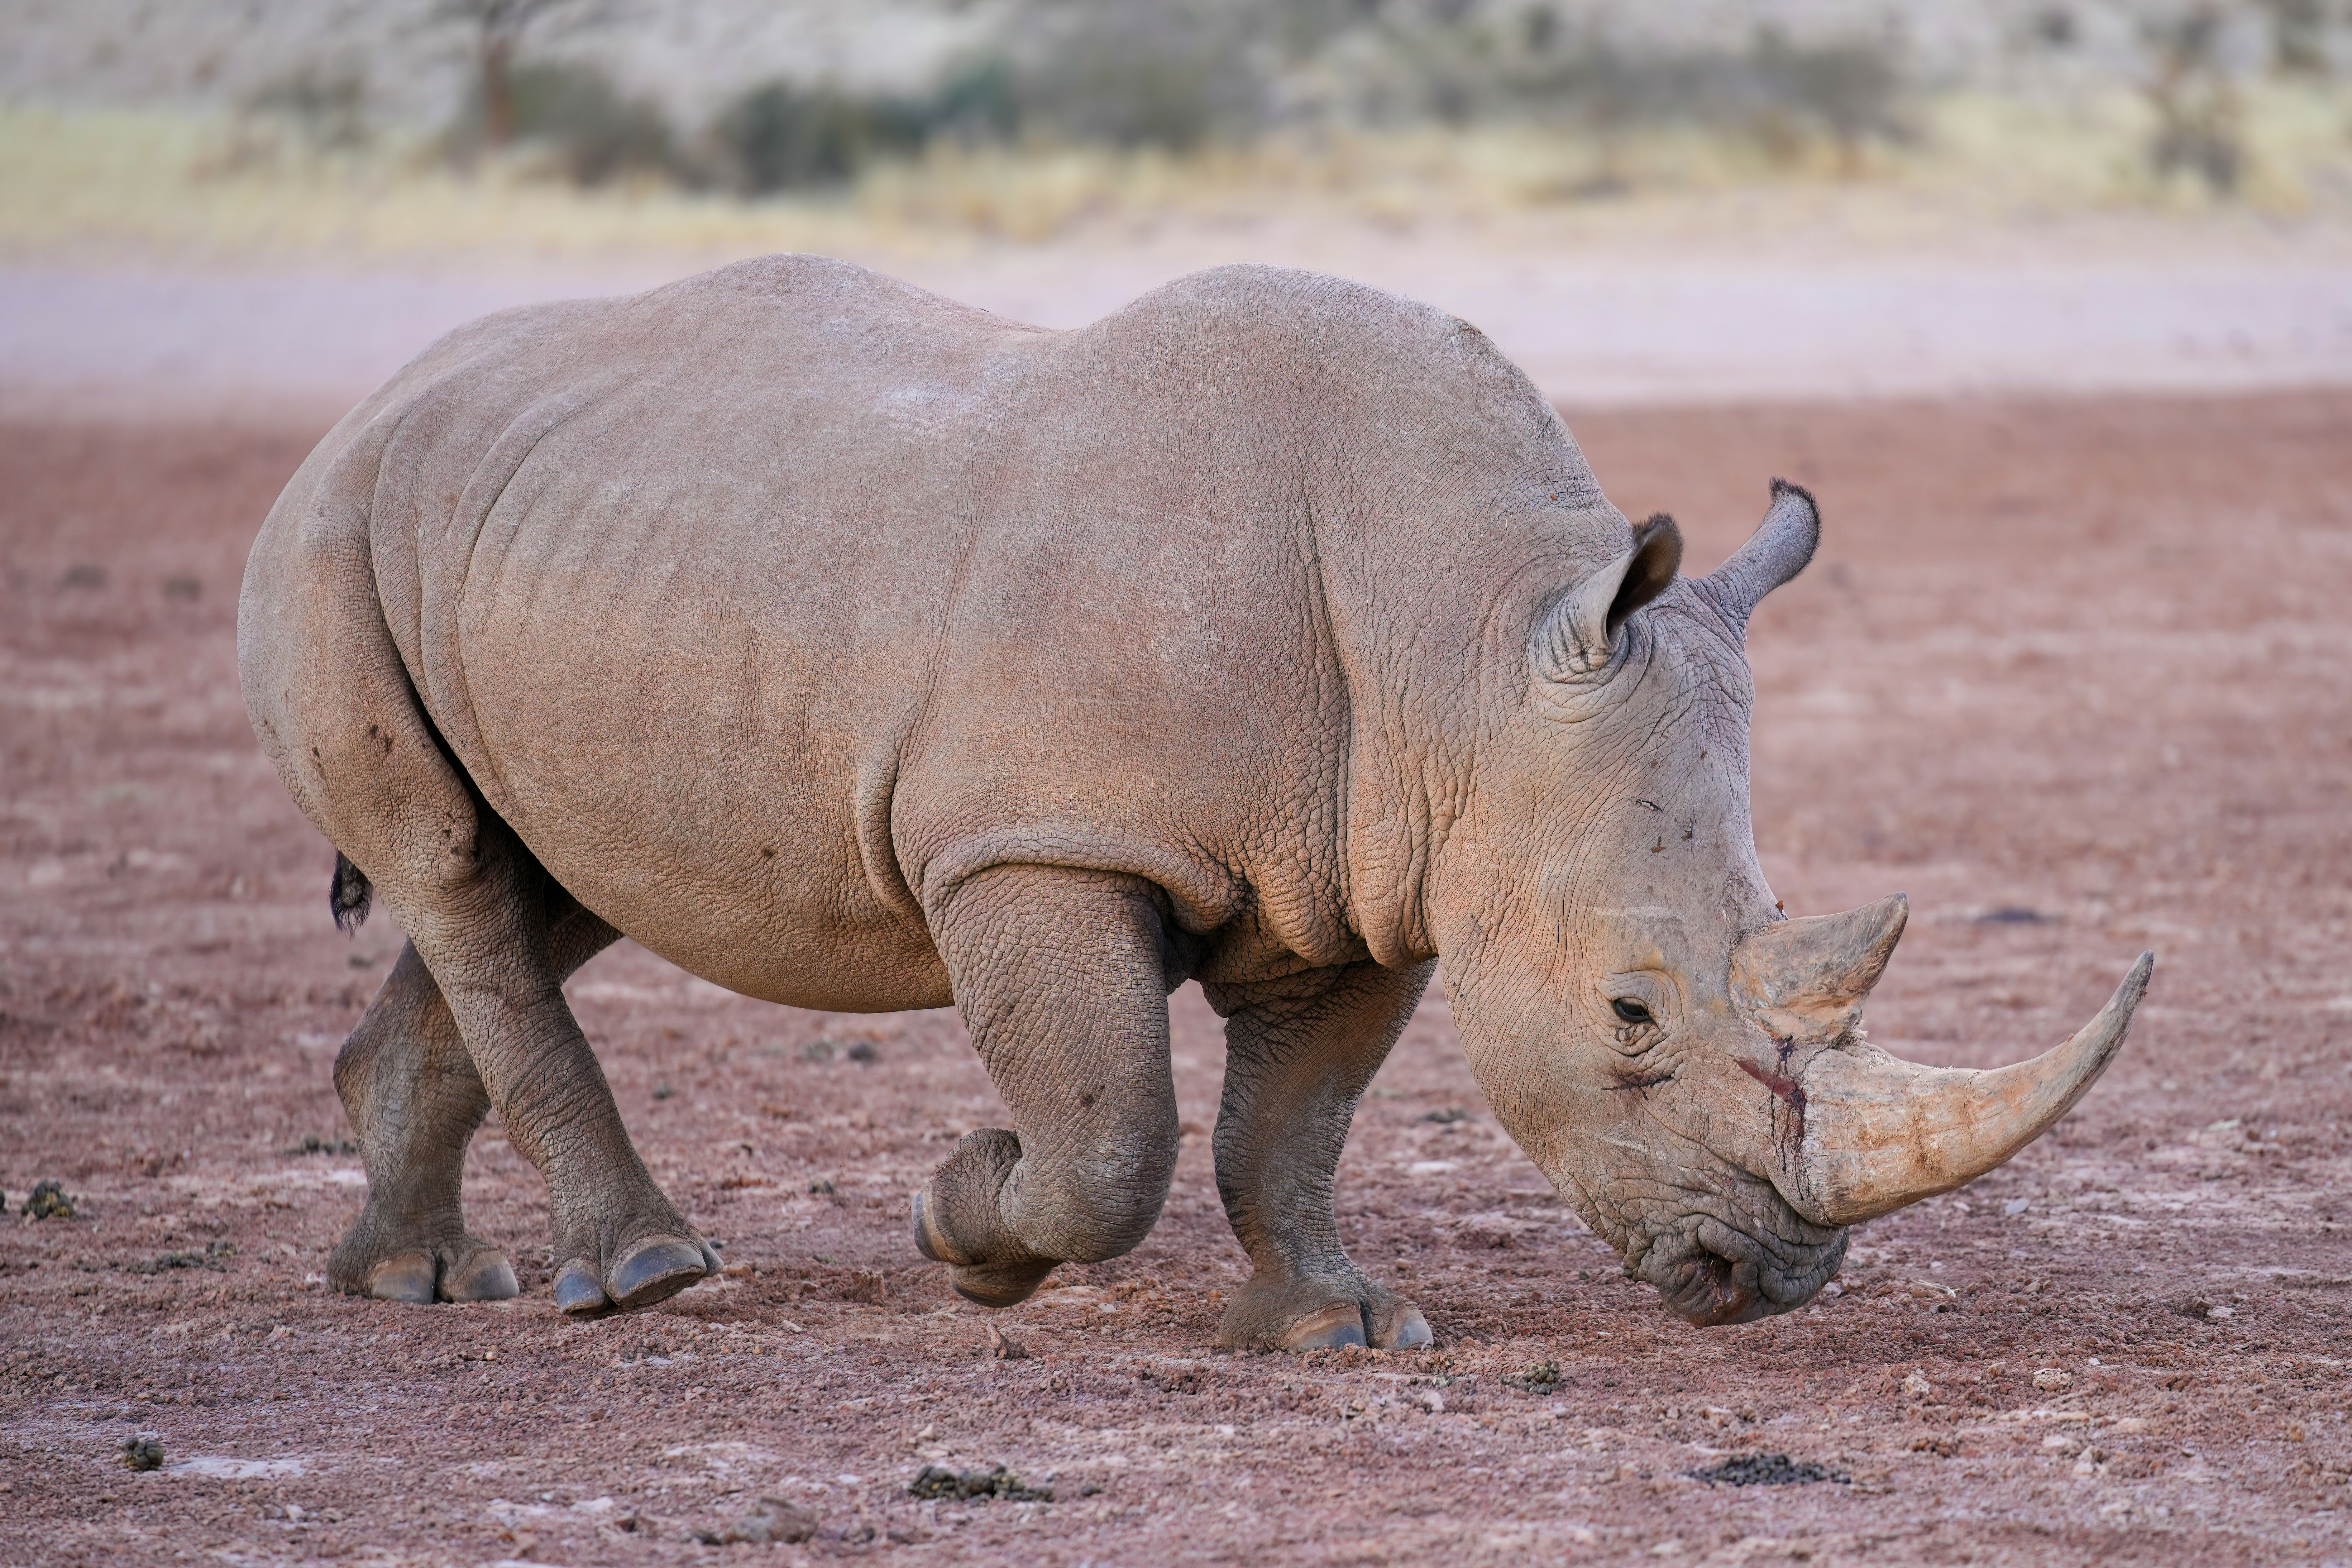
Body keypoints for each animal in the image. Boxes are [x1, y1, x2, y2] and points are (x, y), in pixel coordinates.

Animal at [238, 256, 2152, 1347]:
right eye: (1629, 1014)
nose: (1770, 1280)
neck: (1467, 632)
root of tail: (370, 404)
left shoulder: (1382, 870)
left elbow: (1285, 1125)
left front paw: (1337, 1330)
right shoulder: (1035, 843)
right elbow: (1113, 1142)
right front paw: (967, 1224)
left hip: (572, 547)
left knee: (537, 879)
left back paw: (418, 1285)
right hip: (334, 527)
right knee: (456, 870)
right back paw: (640, 1280)